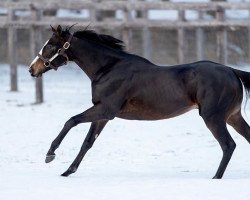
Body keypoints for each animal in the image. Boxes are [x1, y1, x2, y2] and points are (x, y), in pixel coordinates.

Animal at [28, 25, 250, 178]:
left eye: (50, 46)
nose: (32, 69)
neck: (108, 68)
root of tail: (232, 71)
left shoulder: (106, 110)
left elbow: (71, 121)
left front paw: (50, 154)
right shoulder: (103, 115)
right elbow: (87, 142)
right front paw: (68, 171)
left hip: (213, 117)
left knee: (228, 145)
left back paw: (216, 177)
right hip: (232, 117)